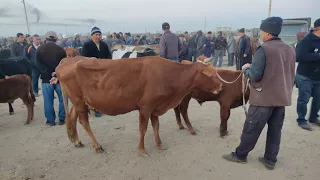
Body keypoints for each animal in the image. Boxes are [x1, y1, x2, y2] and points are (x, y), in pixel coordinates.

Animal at [57, 56, 222, 155]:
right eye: (213, 74)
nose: (221, 85)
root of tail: (67, 60)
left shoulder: (156, 107)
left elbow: (156, 127)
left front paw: (159, 144)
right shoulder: (145, 107)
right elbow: (143, 129)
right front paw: (142, 150)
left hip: (79, 101)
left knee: (72, 118)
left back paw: (77, 141)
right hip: (78, 100)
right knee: (84, 122)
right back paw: (97, 146)